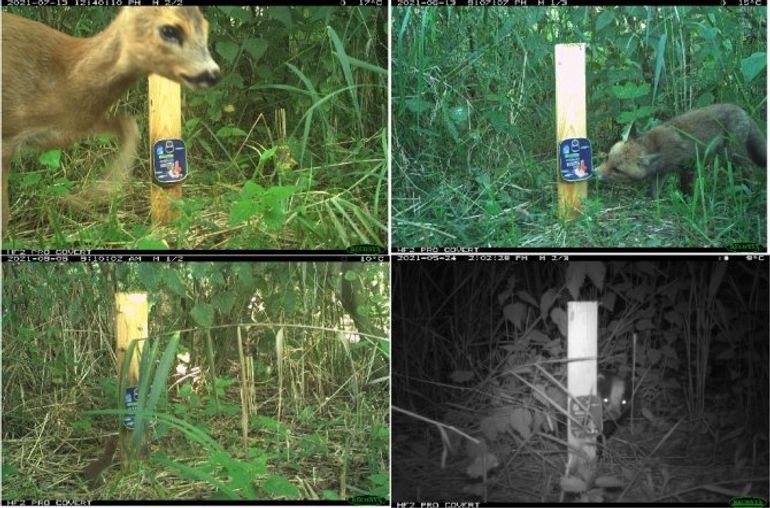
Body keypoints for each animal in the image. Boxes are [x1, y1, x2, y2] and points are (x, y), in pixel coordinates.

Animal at [1, 7, 220, 236]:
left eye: (205, 27)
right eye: (169, 30)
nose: (212, 74)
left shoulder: (67, 127)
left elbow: (128, 124)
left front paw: (93, 194)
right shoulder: (10, 131)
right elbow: (4, 215)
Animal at [592, 104, 760, 195]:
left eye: (617, 170)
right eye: (607, 158)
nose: (594, 173)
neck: (656, 146)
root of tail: (742, 110)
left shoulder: (687, 165)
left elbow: (686, 186)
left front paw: (687, 199)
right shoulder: (660, 174)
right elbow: (654, 191)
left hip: (733, 153)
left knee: (751, 169)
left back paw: (748, 189)